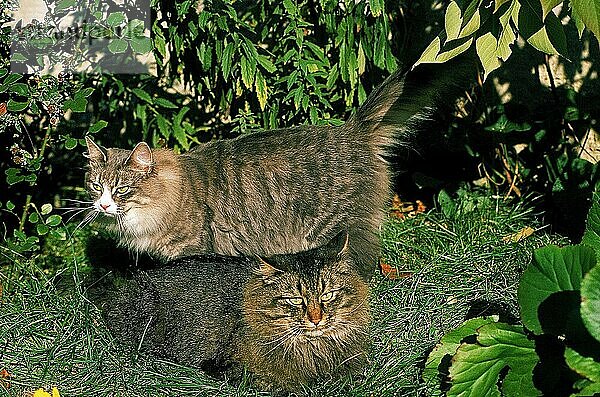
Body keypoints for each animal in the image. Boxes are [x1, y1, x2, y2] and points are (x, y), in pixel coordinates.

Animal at [84, 62, 472, 278]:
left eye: (121, 189)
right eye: (96, 187)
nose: (102, 205)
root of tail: (351, 131)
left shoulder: (193, 250)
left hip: (336, 230)